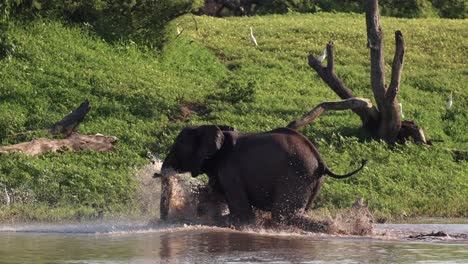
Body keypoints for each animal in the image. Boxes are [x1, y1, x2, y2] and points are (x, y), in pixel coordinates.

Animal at [157, 125, 366, 230]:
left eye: (177, 148)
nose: (163, 222)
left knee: (284, 214)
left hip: (296, 175)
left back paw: (332, 227)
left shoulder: (230, 168)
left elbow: (242, 213)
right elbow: (211, 195)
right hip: (312, 180)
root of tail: (321, 162)